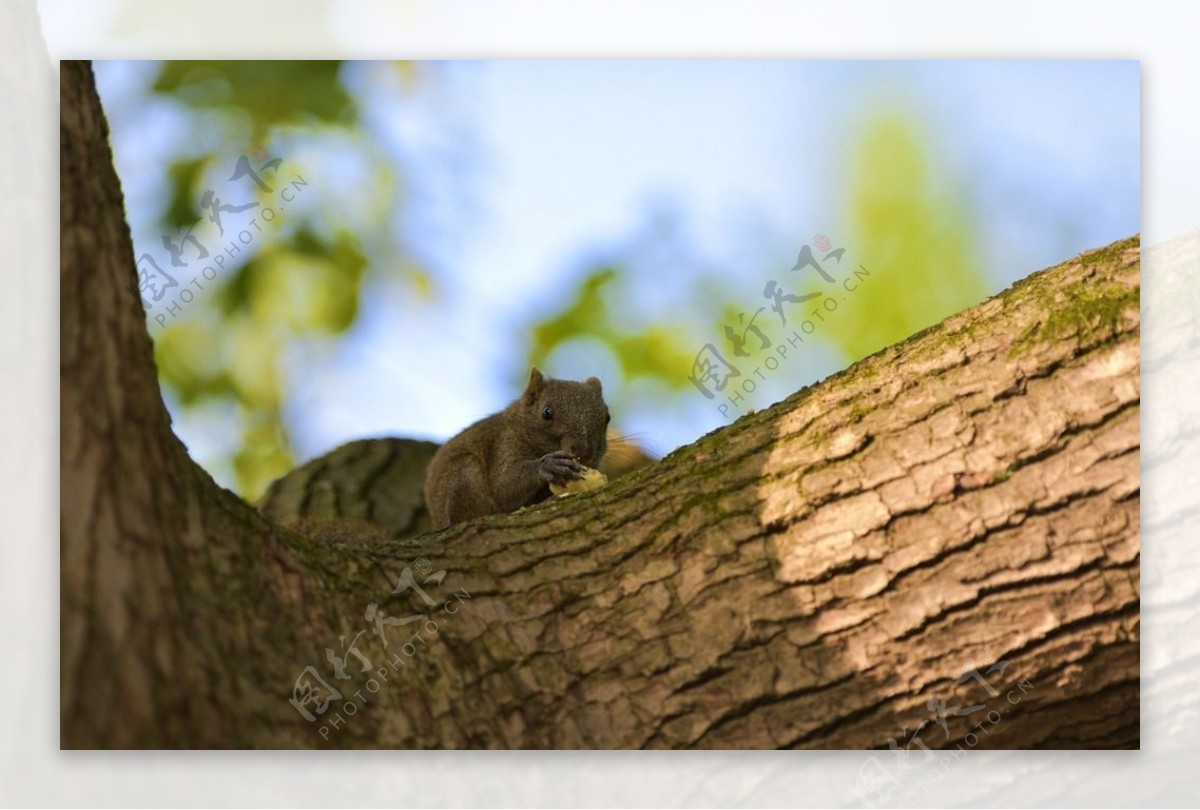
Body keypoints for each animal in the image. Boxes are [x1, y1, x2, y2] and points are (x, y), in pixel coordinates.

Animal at [422, 369, 609, 532]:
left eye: (607, 417)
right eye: (547, 412)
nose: (584, 451)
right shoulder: (505, 444)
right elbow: (504, 486)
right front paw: (550, 465)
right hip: (462, 475)